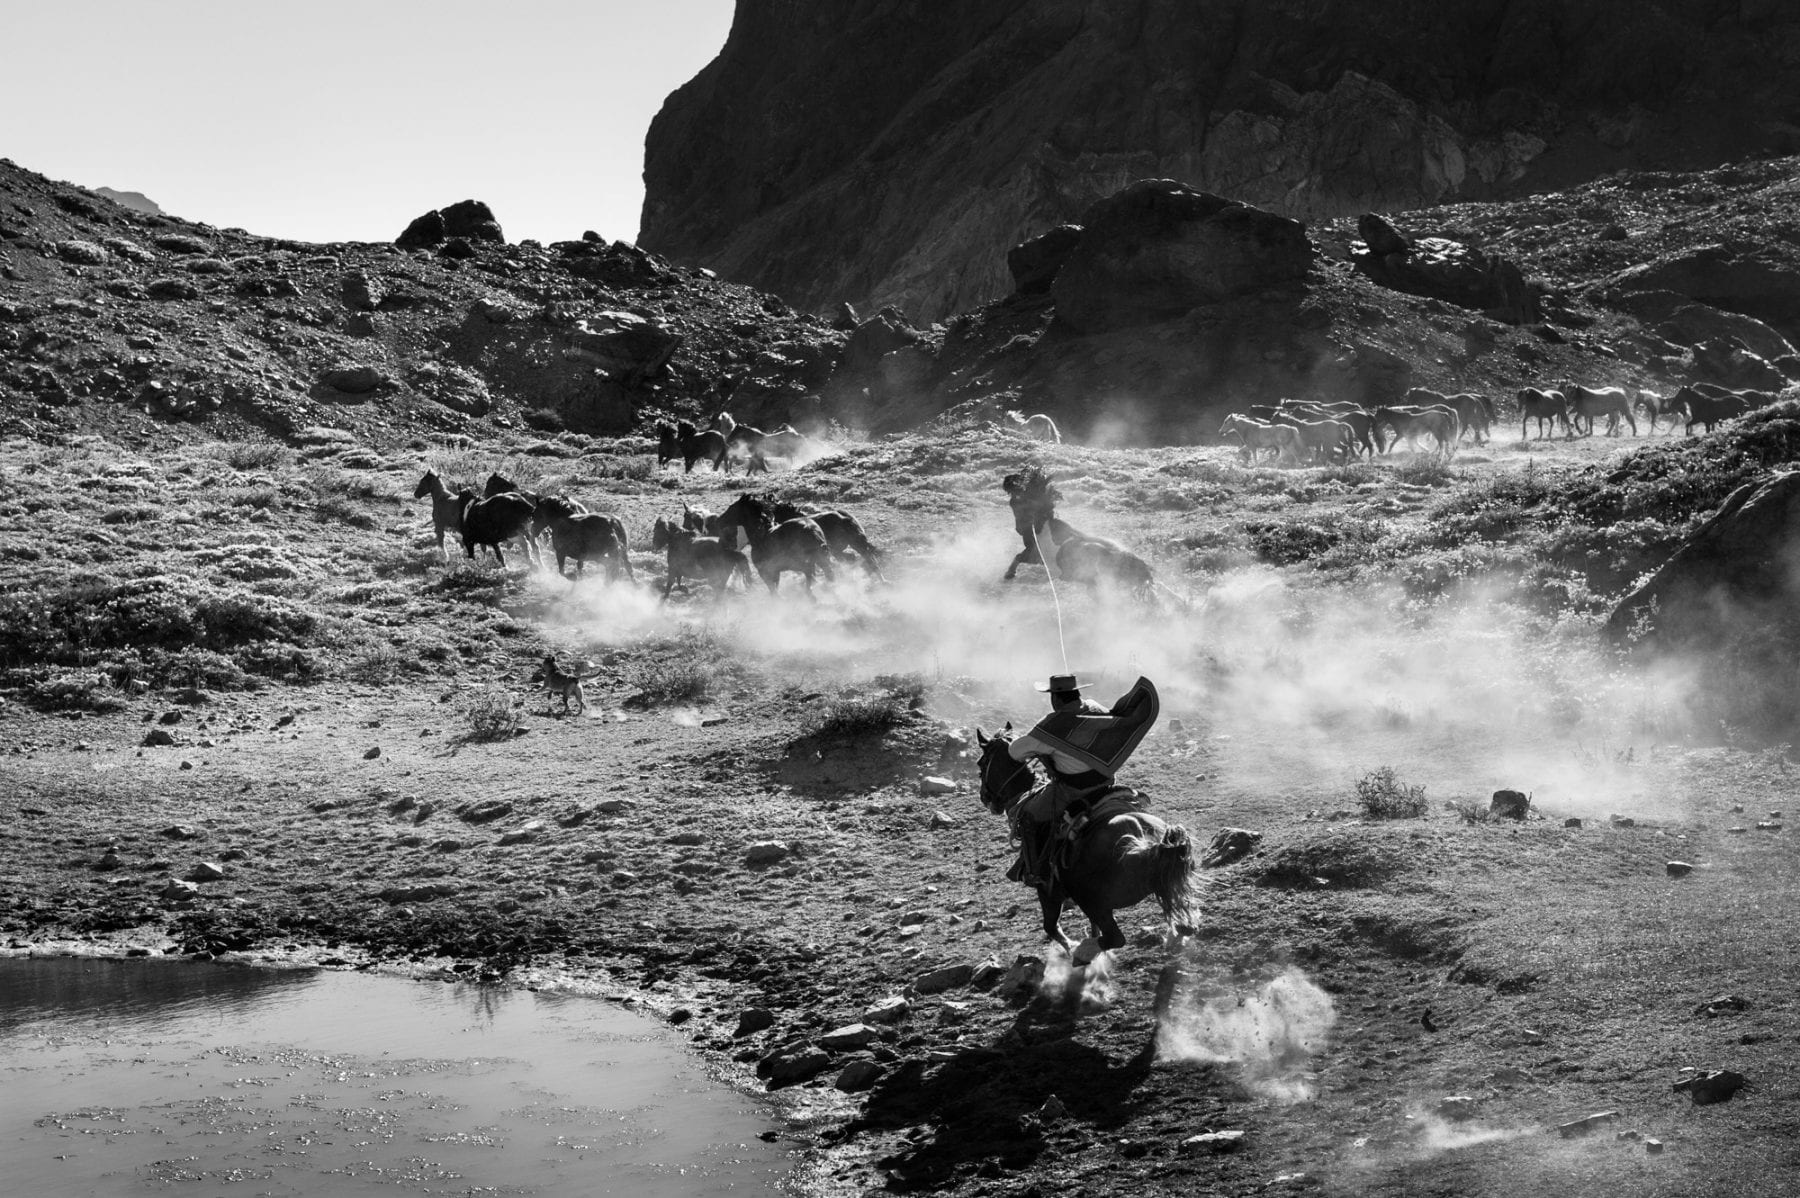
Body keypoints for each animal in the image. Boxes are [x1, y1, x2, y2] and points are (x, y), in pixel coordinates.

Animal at [972, 719, 1195, 964]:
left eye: (982, 762)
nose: (985, 797)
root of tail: (1143, 842)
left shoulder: (1048, 890)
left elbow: (1051, 927)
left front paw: (1071, 947)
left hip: (1093, 901)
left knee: (1115, 937)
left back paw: (1082, 952)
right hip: (1171, 885)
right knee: (1184, 923)